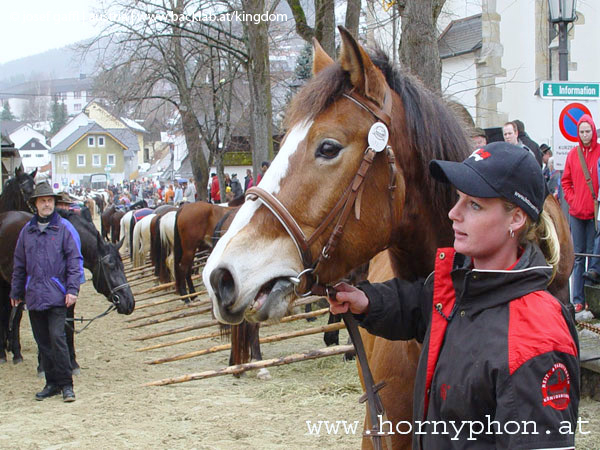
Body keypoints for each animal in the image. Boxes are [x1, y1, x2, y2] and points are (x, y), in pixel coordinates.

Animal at [0, 209, 134, 368]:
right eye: (110, 266)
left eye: (122, 266)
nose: (129, 303)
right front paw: (43, 365)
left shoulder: (69, 296)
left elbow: (68, 325)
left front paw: (73, 362)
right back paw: (4, 354)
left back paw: (15, 352)